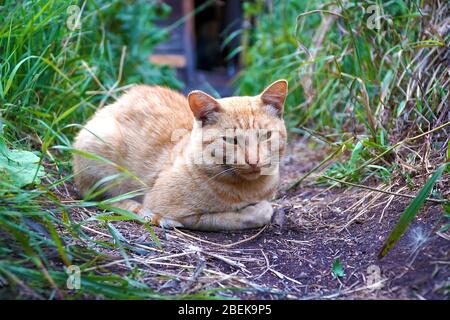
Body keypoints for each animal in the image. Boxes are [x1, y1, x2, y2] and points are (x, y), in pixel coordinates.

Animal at [72, 79, 286, 230]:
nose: (253, 160)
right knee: (105, 199)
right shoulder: (180, 212)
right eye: (231, 140)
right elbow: (244, 215)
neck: (250, 189)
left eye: (266, 136)